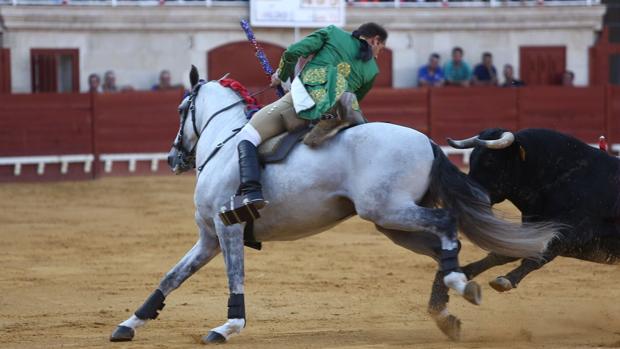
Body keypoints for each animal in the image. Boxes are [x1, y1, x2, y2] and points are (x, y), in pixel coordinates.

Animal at [109, 68, 560, 342]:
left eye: (180, 108)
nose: (173, 157)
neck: (224, 144)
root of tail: (426, 141)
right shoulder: (208, 238)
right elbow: (171, 276)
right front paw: (129, 324)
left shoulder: (228, 229)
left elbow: (234, 278)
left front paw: (228, 326)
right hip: (394, 225)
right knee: (446, 248)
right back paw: (451, 304)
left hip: (388, 212)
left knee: (448, 222)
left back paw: (457, 290)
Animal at [450, 128, 620, 290]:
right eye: (471, 158)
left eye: (490, 161)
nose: (461, 193)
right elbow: (507, 251)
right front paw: (464, 272)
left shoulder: (575, 233)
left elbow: (543, 253)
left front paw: (507, 280)